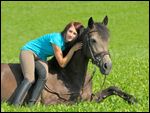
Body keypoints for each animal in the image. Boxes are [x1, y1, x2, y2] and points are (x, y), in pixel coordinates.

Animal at [0, 16, 136, 105]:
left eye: (108, 39)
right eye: (93, 40)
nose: (107, 66)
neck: (68, 75)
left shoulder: (90, 98)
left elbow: (112, 88)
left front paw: (132, 99)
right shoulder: (53, 102)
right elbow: (75, 102)